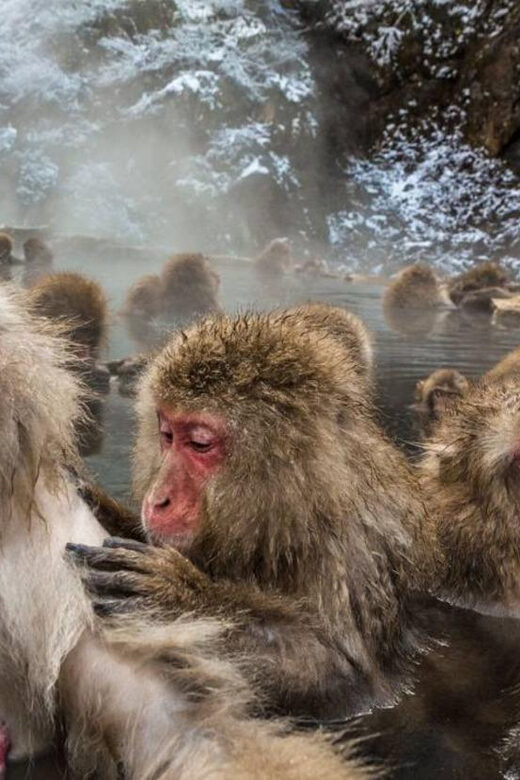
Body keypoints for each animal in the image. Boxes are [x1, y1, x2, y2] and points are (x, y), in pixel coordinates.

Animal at [68, 307, 431, 722]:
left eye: (199, 444)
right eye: (167, 434)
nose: (157, 500)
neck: (297, 507)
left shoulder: (348, 555)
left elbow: (344, 676)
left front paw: (179, 600)